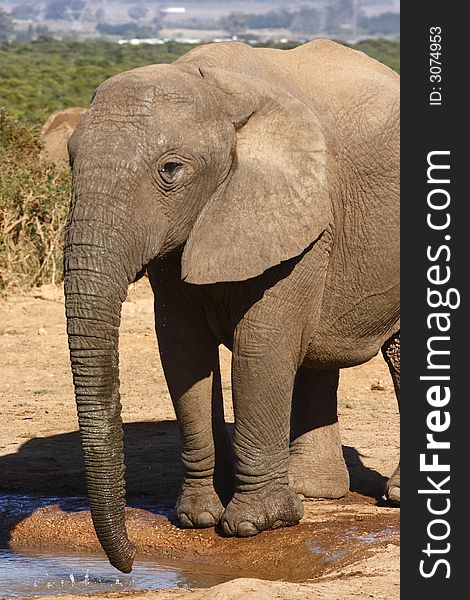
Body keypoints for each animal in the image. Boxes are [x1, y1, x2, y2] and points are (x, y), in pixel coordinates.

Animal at [63, 37, 400, 572]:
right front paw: (196, 518)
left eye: (171, 170)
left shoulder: (300, 213)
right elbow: (182, 352)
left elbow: (262, 344)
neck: (217, 92)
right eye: (71, 162)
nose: (128, 563)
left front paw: (253, 526)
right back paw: (314, 492)